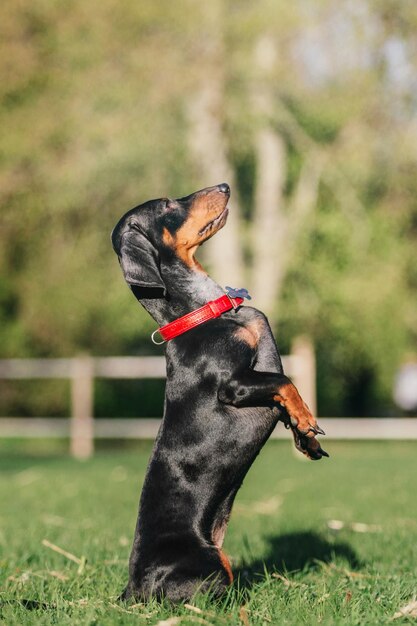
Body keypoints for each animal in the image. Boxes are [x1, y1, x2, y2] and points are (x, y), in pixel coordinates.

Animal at [112, 183, 326, 604]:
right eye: (167, 205)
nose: (225, 186)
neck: (206, 313)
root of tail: (133, 587)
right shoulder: (236, 385)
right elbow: (285, 381)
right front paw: (306, 419)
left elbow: (284, 392)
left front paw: (306, 439)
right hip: (211, 563)